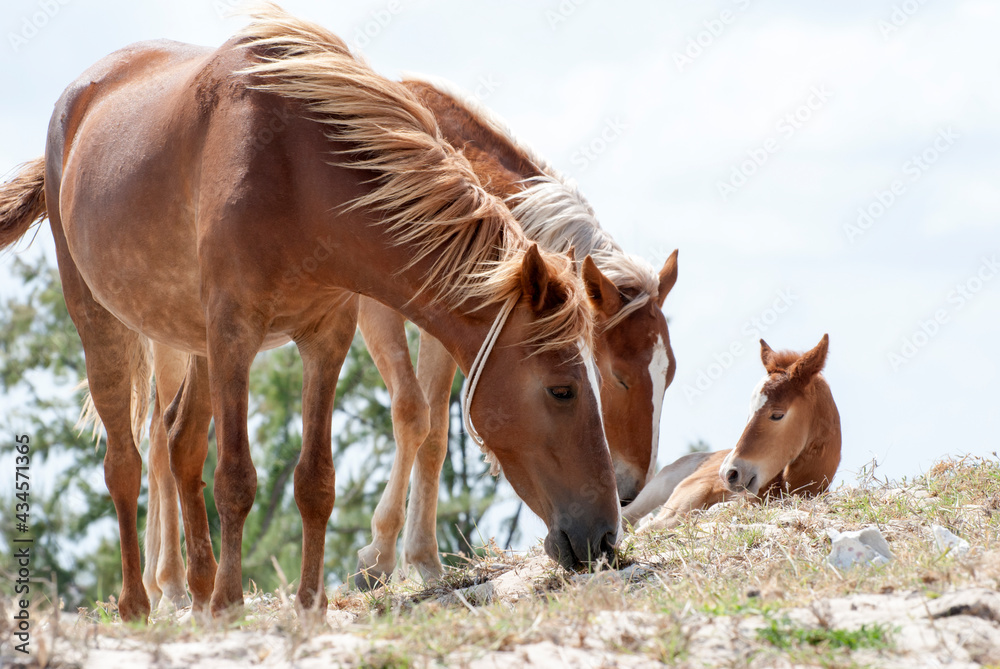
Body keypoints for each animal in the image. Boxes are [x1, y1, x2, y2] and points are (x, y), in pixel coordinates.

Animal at [0, 5, 620, 621]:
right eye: (562, 390)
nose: (606, 537)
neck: (297, 171)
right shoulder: (235, 334)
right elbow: (236, 478)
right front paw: (231, 603)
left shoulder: (326, 338)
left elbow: (315, 480)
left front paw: (308, 605)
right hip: (104, 327)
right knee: (126, 465)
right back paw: (141, 603)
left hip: (194, 340)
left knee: (179, 444)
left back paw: (197, 589)